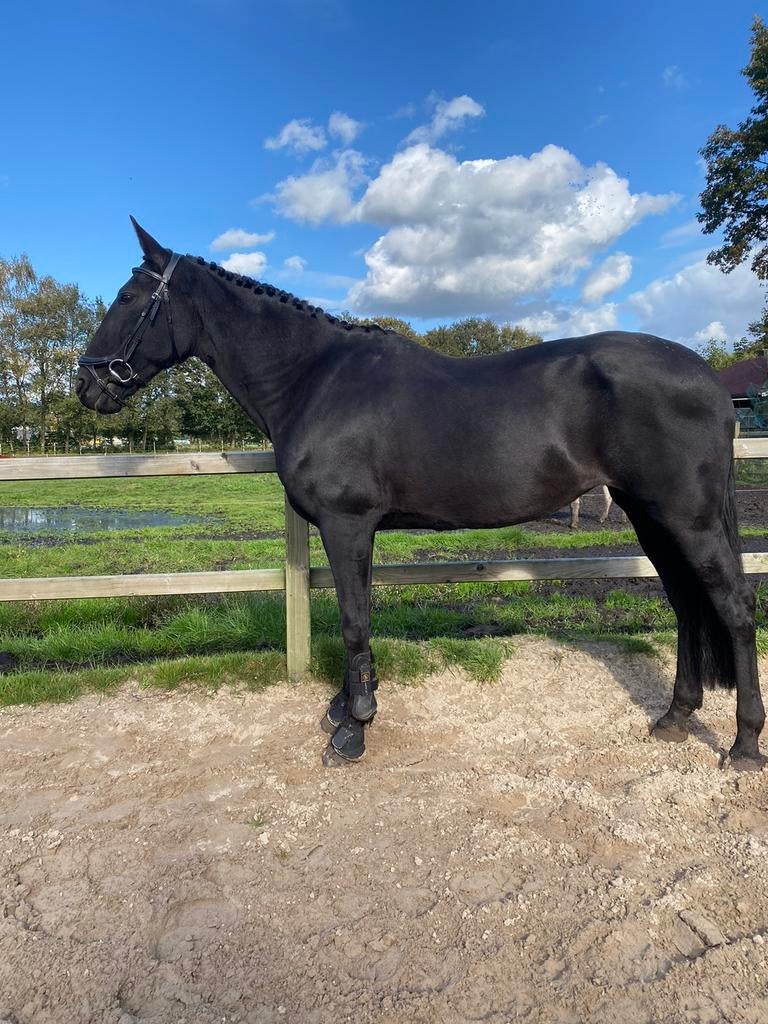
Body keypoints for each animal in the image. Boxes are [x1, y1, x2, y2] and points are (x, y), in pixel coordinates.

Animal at [75, 219, 765, 769]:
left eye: (130, 297)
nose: (87, 387)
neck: (313, 379)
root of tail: (707, 378)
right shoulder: (357, 530)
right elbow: (358, 616)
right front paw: (345, 706)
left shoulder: (346, 523)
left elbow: (353, 620)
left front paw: (353, 728)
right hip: (652, 517)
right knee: (686, 604)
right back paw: (675, 717)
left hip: (690, 519)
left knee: (732, 607)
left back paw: (743, 746)